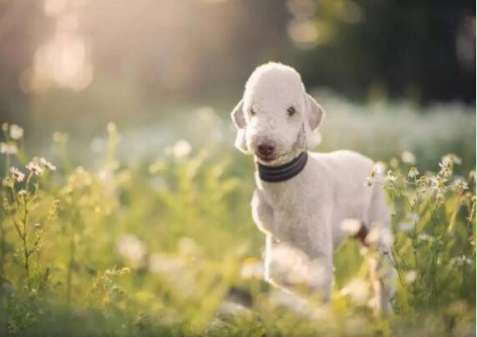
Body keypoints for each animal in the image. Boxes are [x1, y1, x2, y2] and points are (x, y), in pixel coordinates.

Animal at [230, 62, 394, 312]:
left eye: (291, 110)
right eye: (253, 111)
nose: (265, 146)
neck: (287, 185)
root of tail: (372, 164)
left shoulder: (317, 248)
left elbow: (318, 285)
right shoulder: (277, 241)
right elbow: (279, 276)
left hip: (378, 231)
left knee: (383, 276)